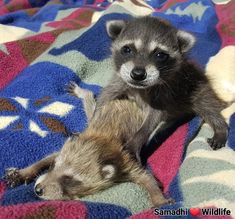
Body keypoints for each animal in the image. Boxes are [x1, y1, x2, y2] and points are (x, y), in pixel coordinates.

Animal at [3, 82, 173, 207]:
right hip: (98, 112)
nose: (38, 190)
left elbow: (146, 177)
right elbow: (49, 156)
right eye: (53, 167)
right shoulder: (79, 141)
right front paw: (27, 171)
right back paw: (84, 93)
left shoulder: (127, 160)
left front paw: (159, 198)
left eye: (68, 179)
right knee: (92, 106)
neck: (100, 144)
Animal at [96, 16, 229, 158]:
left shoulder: (164, 93)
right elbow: (106, 95)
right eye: (127, 49)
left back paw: (221, 128)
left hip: (198, 90)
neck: (140, 88)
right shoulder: (121, 80)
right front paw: (95, 118)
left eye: (160, 55)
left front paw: (137, 140)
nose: (138, 74)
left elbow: (154, 117)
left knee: (208, 108)